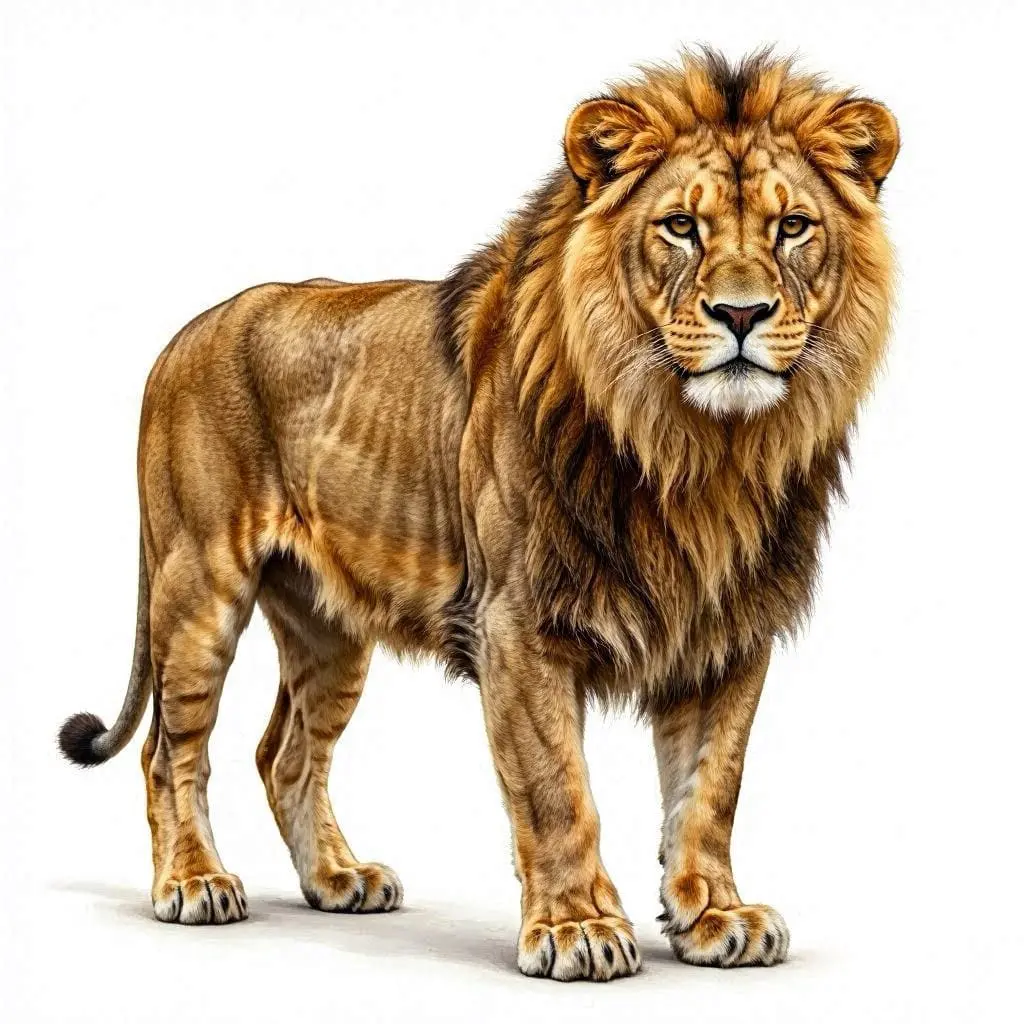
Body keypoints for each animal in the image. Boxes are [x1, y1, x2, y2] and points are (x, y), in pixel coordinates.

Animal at [58, 49, 899, 980]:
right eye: (681, 227)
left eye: (793, 229)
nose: (742, 314)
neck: (698, 451)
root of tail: (179, 339)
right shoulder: (518, 625)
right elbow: (558, 788)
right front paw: (576, 929)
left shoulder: (730, 632)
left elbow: (710, 789)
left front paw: (716, 916)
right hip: (198, 587)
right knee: (169, 750)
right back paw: (194, 883)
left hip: (327, 626)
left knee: (284, 753)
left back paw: (338, 879)